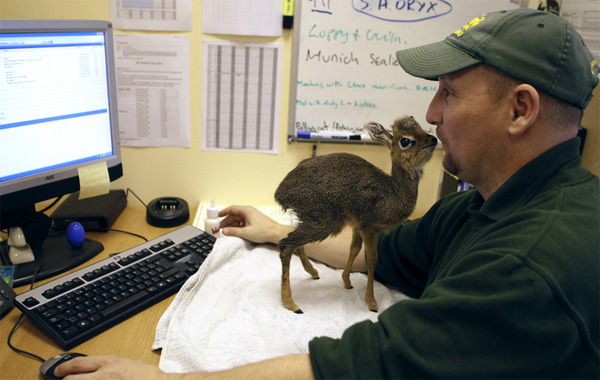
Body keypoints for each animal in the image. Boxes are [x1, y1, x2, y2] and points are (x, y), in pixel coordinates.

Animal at [276, 117, 436, 314]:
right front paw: (372, 302)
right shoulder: (370, 227)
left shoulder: (357, 226)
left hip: (314, 221)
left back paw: (313, 273)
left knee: (294, 242)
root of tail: (280, 192)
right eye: (405, 140)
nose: (434, 139)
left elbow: (354, 249)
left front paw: (347, 281)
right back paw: (291, 303)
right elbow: (372, 259)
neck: (392, 191)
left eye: (421, 128)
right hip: (323, 223)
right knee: (285, 244)